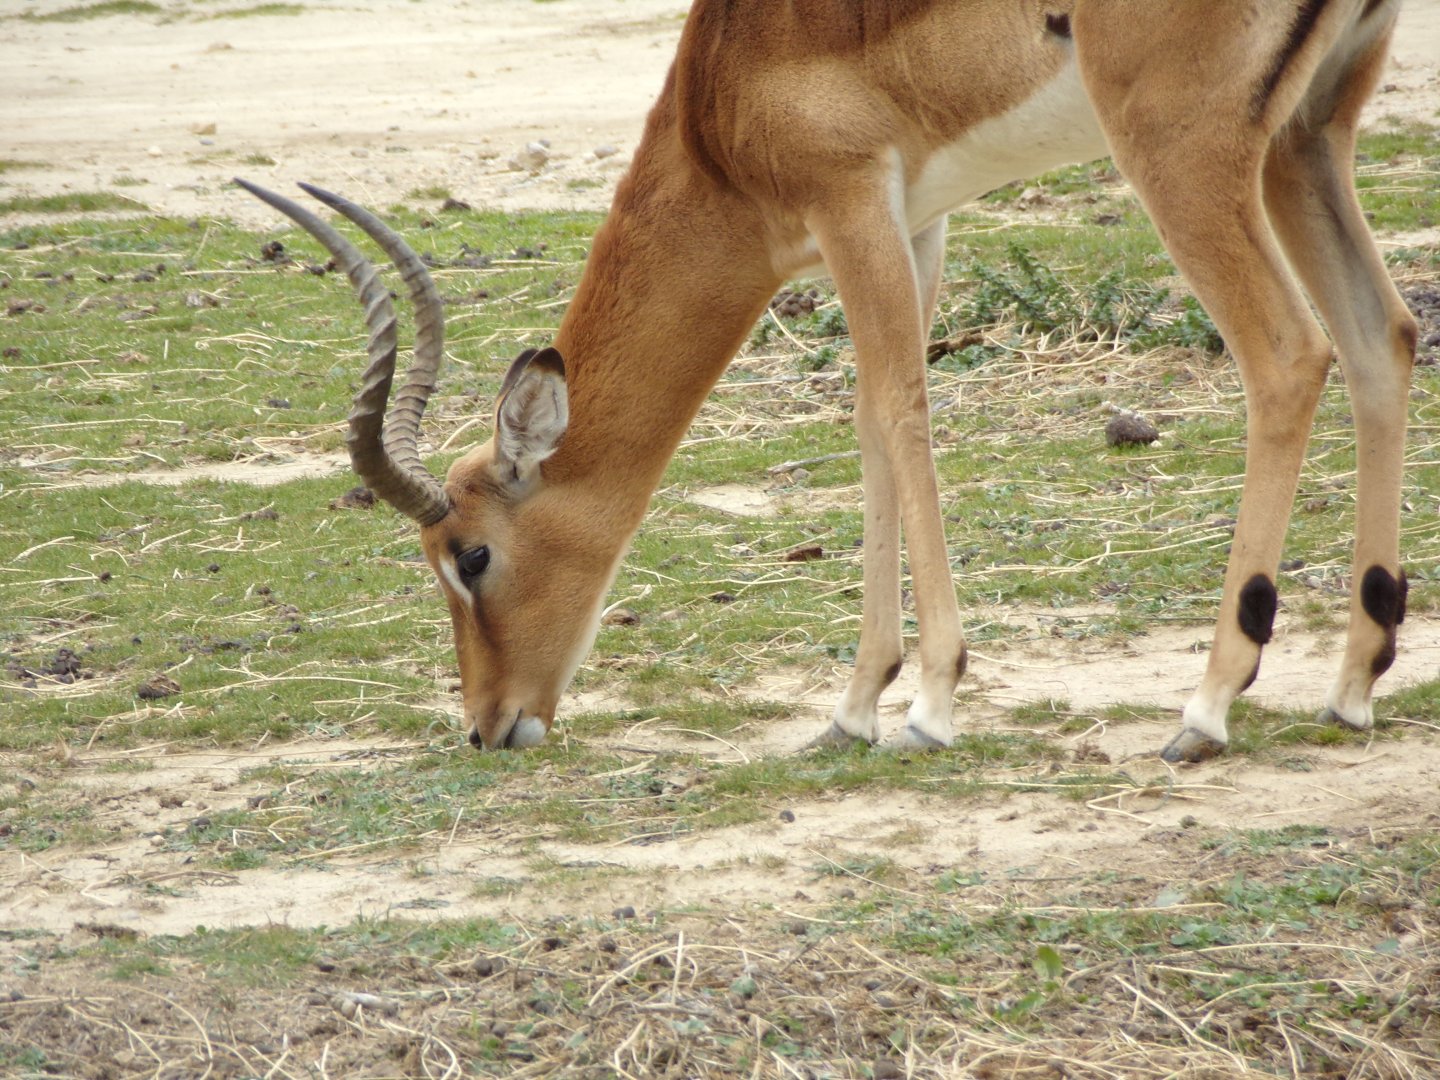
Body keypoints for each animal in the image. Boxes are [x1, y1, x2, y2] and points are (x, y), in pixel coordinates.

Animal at [239, 0, 1415, 762]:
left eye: (471, 555)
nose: (491, 727)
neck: (719, 98)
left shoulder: (851, 204)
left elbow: (900, 408)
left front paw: (930, 705)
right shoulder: (916, 219)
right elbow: (868, 421)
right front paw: (855, 707)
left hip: (1182, 148)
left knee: (1288, 355)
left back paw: (1207, 706)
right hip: (1307, 137)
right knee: (1384, 338)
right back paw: (1354, 684)